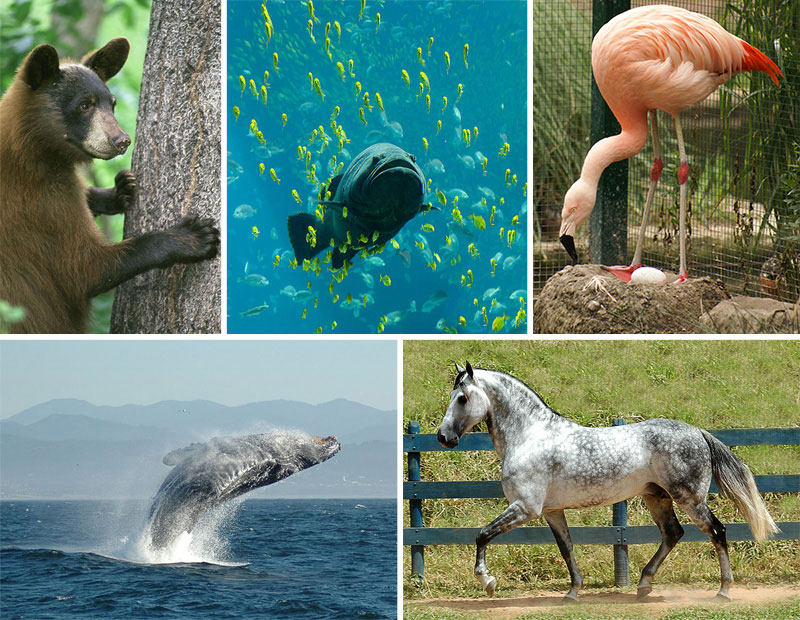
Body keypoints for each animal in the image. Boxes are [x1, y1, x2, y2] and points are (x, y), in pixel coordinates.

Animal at [438, 364, 776, 600]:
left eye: (462, 398)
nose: (443, 437)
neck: (530, 436)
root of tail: (697, 432)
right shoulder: (551, 511)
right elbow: (567, 548)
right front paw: (573, 592)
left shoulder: (525, 508)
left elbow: (482, 535)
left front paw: (488, 582)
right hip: (657, 498)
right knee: (672, 534)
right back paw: (643, 585)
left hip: (690, 498)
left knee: (717, 532)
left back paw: (724, 590)